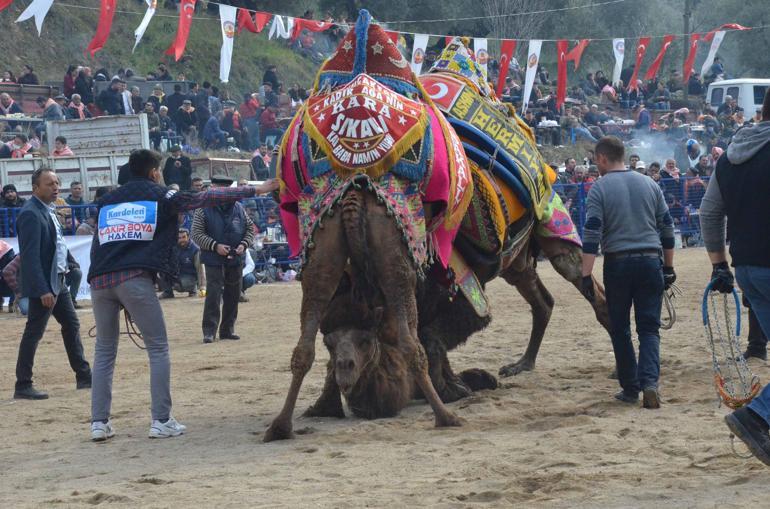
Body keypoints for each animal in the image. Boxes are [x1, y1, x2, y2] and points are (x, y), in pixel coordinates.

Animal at [262, 184, 462, 440]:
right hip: (395, 259)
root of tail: (355, 193)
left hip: (322, 249)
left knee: (303, 349)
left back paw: (281, 427)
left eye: (365, 342)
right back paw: (446, 416)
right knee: (412, 346)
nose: (347, 368)